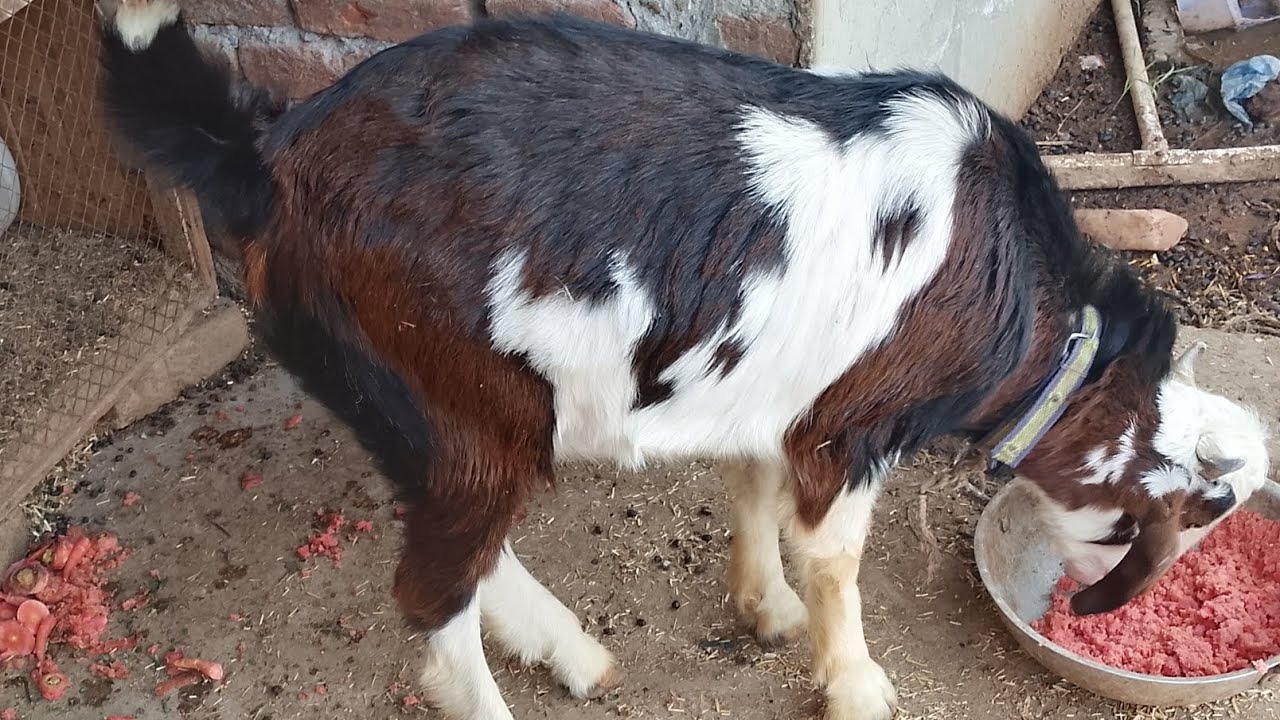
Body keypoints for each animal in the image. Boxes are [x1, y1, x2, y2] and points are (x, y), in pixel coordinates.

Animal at [97, 2, 1271, 719]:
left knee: (461, 551)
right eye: (1187, 523)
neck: (1021, 305)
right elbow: (835, 555)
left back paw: (571, 651)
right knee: (434, 588)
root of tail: (264, 158)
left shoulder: (771, 388)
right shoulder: (849, 425)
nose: (1104, 609)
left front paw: (763, 609)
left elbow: (745, 484)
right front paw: (854, 680)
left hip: (414, 409)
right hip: (459, 398)